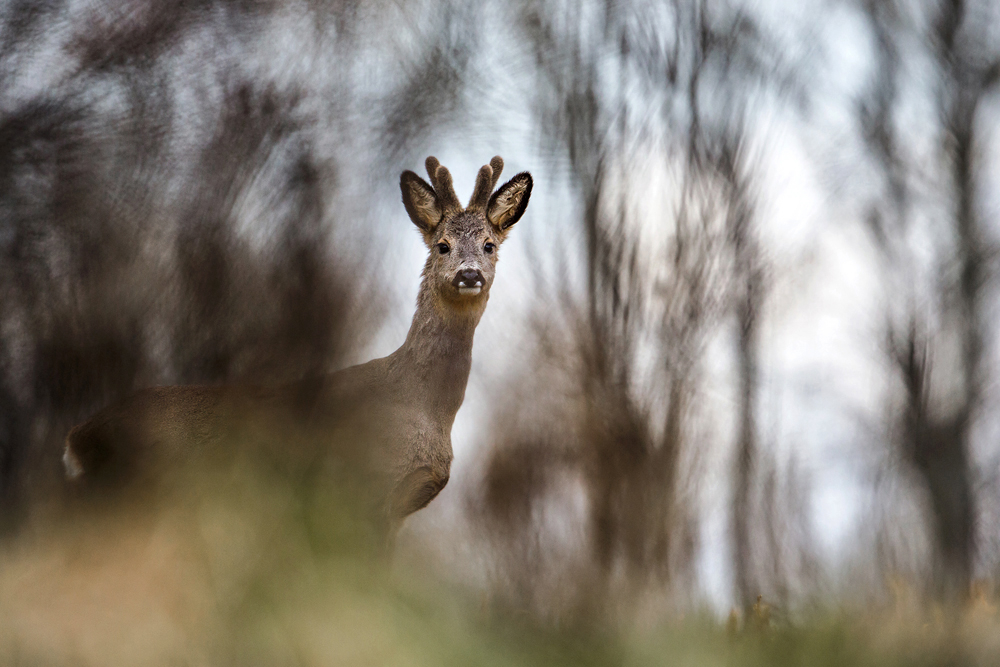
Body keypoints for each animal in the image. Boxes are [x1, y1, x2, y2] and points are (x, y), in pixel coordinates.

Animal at [62, 157, 532, 536]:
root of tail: (76, 439)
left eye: (489, 245)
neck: (424, 407)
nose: (469, 274)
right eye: (442, 245)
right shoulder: (366, 486)